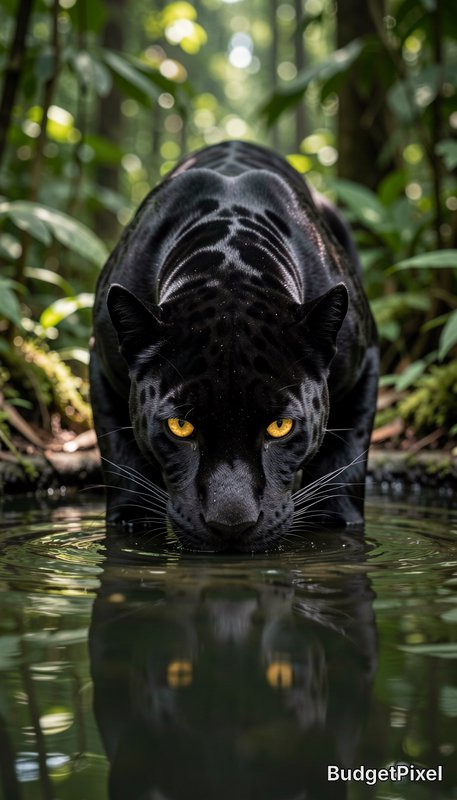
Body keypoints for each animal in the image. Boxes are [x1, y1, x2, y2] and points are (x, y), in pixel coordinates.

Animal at [90, 140, 378, 552]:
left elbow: (347, 459)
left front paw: (337, 520)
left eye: (280, 427)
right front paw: (129, 519)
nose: (231, 524)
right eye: (180, 427)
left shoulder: (365, 362)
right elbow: (121, 460)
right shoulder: (102, 363)